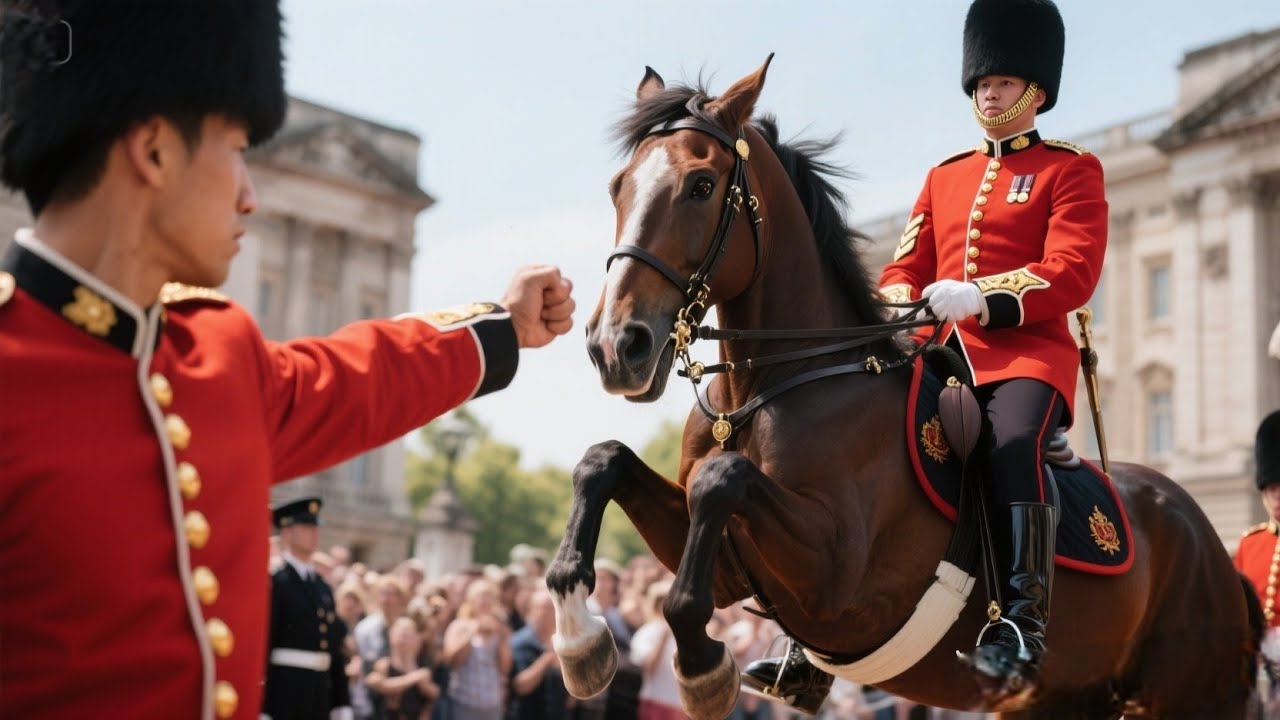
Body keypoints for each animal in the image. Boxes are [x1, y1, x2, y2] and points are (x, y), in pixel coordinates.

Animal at [545, 55, 1261, 719]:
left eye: (700, 184)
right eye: (618, 186)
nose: (616, 346)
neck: (765, 391)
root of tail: (1205, 534)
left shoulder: (835, 579)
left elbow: (721, 481)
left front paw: (699, 666)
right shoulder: (729, 566)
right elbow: (604, 461)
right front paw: (579, 635)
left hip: (1192, 696)